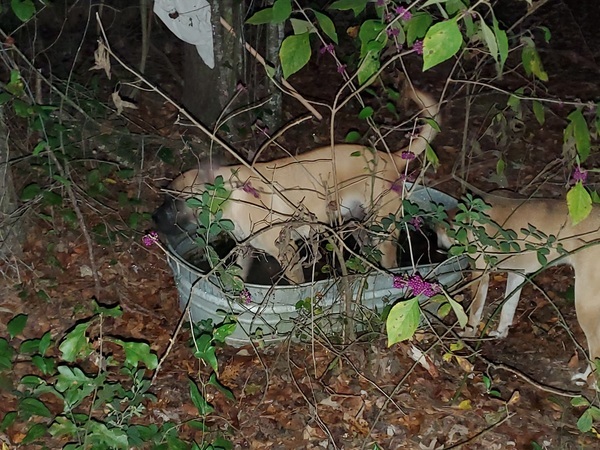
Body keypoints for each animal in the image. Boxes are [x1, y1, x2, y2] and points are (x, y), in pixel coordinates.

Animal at [154, 88, 436, 284]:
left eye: (172, 203)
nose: (153, 217)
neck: (231, 198)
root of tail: (390, 157)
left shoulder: (288, 254)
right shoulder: (245, 250)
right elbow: (237, 278)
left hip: (382, 231)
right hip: (360, 226)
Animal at [436, 193, 600, 380]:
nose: (440, 250)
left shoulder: (480, 274)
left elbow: (475, 311)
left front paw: (467, 336)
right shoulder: (517, 273)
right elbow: (508, 307)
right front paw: (500, 333)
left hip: (585, 304)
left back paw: (587, 379)